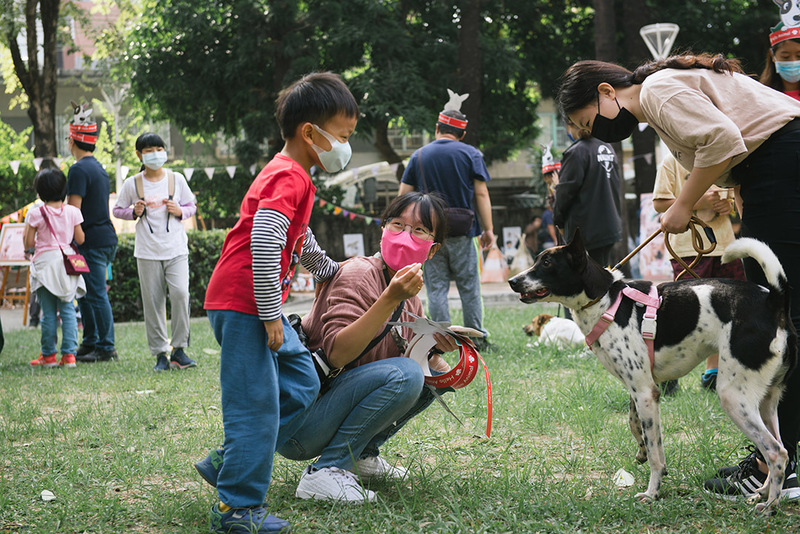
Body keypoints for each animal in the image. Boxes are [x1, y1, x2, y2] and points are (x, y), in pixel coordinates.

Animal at [510, 231, 796, 516]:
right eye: (537, 260)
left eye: (547, 263)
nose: (512, 281)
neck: (605, 299)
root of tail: (773, 300)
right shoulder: (640, 388)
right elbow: (635, 424)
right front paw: (640, 451)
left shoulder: (646, 393)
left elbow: (656, 453)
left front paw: (652, 492)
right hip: (766, 402)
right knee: (781, 446)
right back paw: (763, 491)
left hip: (733, 397)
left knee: (776, 452)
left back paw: (770, 506)